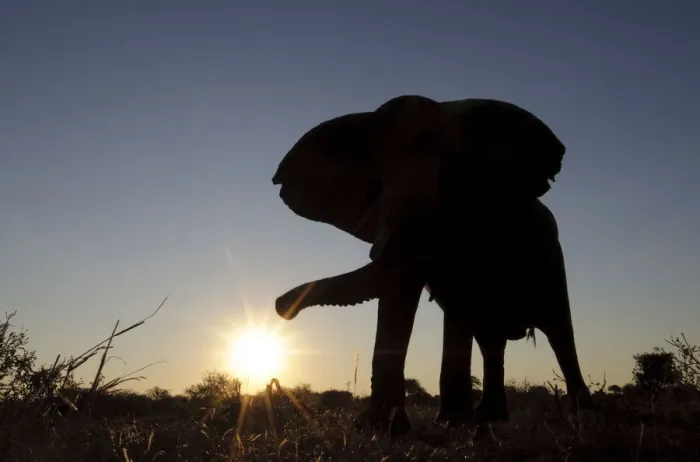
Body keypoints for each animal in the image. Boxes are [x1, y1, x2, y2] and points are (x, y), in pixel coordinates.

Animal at [271, 95, 591, 435]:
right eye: (378, 180)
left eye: (453, 170)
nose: (281, 307)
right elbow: (403, 291)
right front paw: (383, 429)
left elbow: (456, 298)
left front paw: (446, 425)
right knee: (490, 340)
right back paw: (489, 419)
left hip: (553, 258)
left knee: (559, 332)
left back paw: (582, 413)